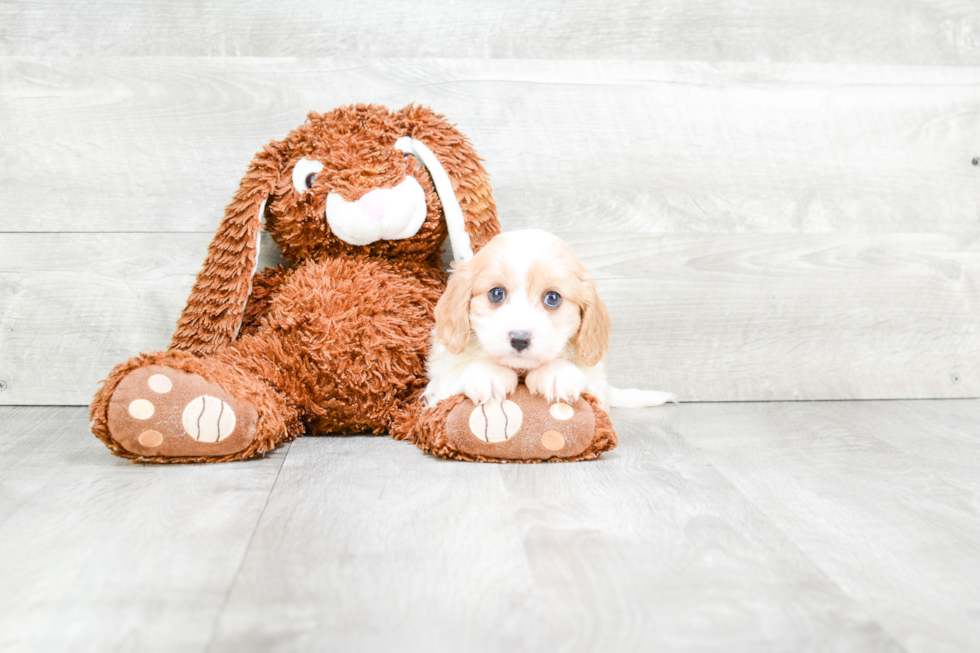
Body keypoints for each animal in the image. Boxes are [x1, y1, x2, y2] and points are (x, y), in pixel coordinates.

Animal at [424, 229, 676, 408]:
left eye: (553, 298)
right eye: (496, 294)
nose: (519, 339)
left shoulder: (596, 385)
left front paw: (556, 372)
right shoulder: (438, 382)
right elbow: (455, 372)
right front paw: (487, 372)